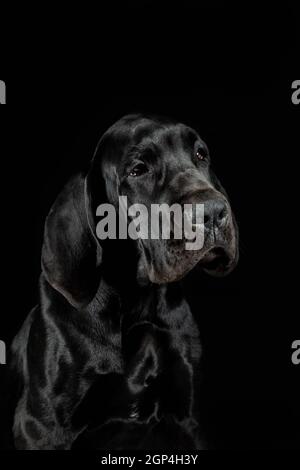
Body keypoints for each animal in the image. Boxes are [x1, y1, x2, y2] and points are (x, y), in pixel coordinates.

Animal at [10, 114, 238, 452]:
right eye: (138, 170)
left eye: (200, 154)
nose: (212, 211)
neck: (136, 304)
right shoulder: (41, 427)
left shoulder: (190, 417)